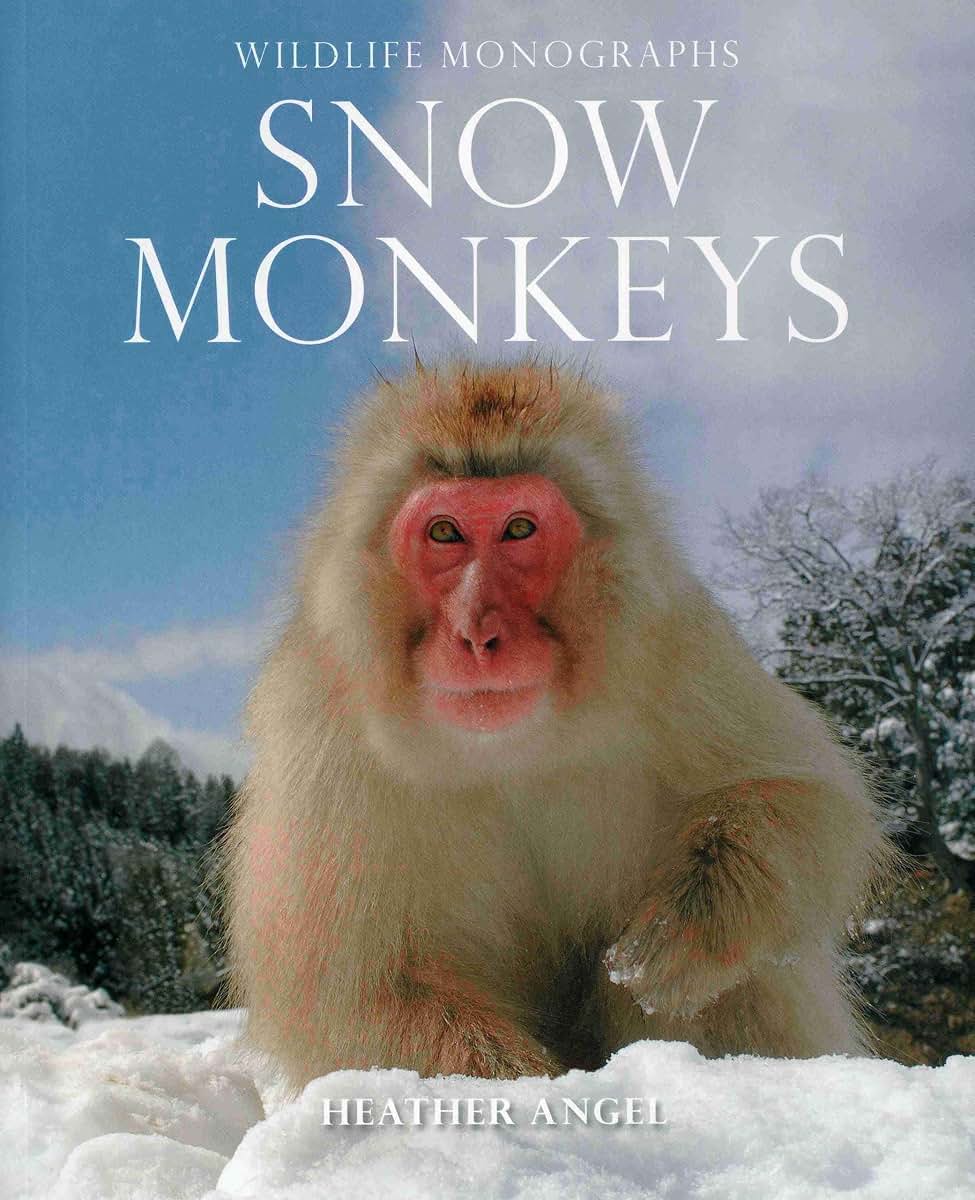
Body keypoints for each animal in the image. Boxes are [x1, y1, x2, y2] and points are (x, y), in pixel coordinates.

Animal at [222, 357, 894, 1090]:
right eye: (444, 533)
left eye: (519, 529)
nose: (476, 632)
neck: (508, 748)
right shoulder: (321, 729)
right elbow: (350, 993)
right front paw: (528, 1090)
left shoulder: (674, 643)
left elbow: (800, 796)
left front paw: (687, 930)